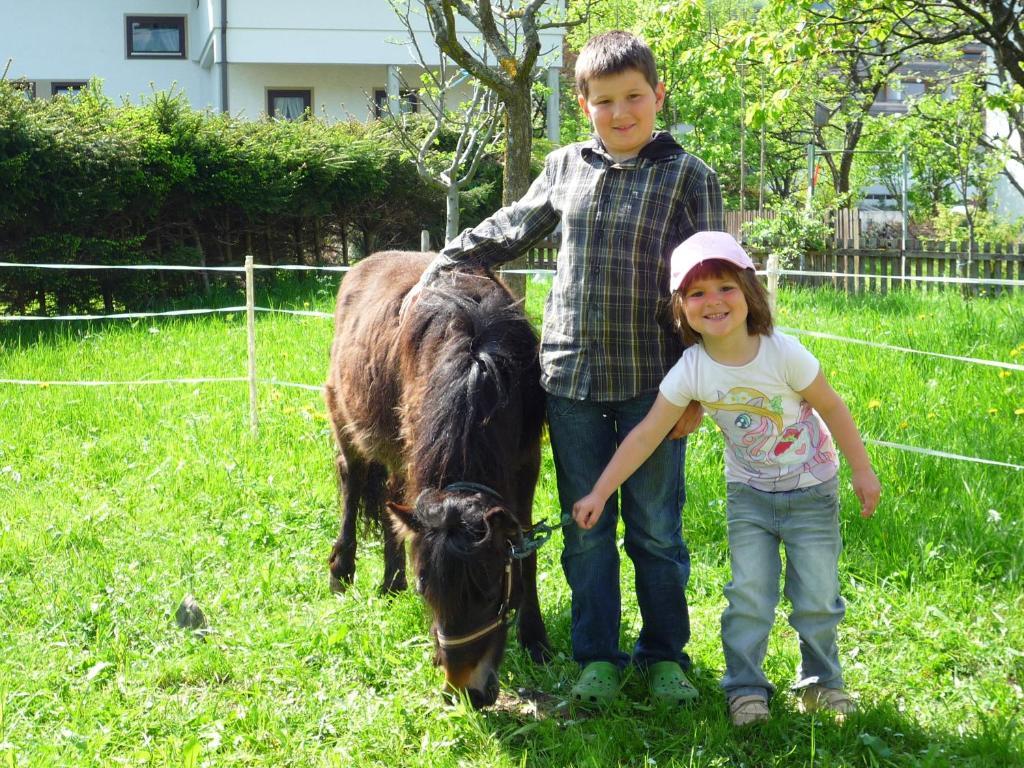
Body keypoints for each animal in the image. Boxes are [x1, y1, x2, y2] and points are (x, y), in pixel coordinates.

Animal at [325, 252, 552, 708]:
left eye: (490, 592)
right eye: (426, 590)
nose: (466, 692)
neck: (478, 363)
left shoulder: (526, 466)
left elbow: (527, 550)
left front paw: (534, 636)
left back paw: (390, 581)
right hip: (345, 414)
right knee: (352, 481)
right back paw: (344, 570)